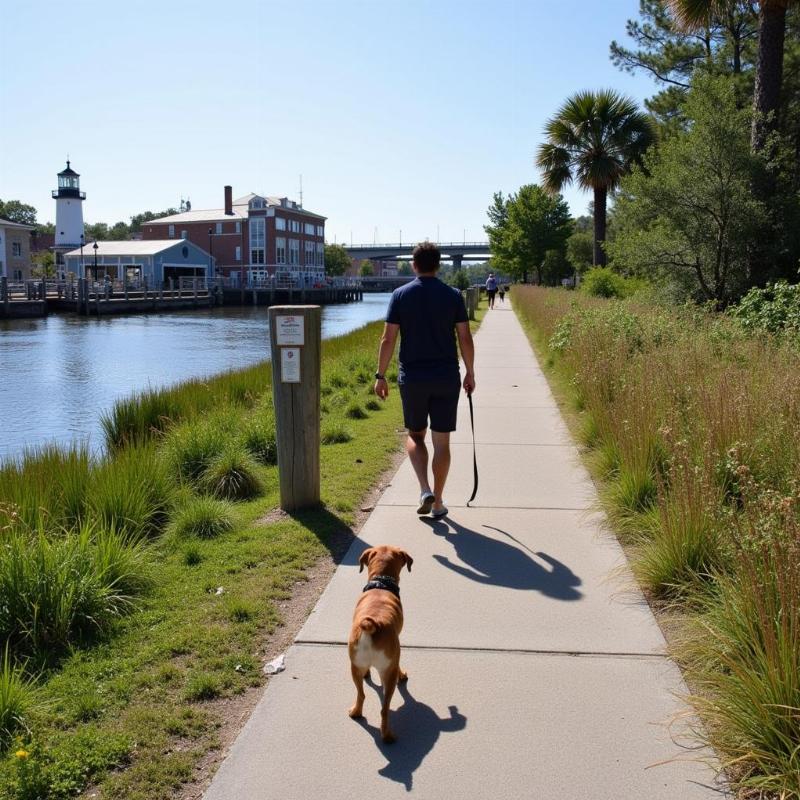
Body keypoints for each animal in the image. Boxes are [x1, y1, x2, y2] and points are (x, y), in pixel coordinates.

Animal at [348, 544, 412, 744]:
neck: (381, 584)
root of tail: (372, 626)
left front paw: (368, 673)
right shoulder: (395, 655)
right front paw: (403, 675)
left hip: (354, 666)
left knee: (361, 694)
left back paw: (356, 712)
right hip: (388, 673)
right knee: (384, 709)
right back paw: (388, 736)